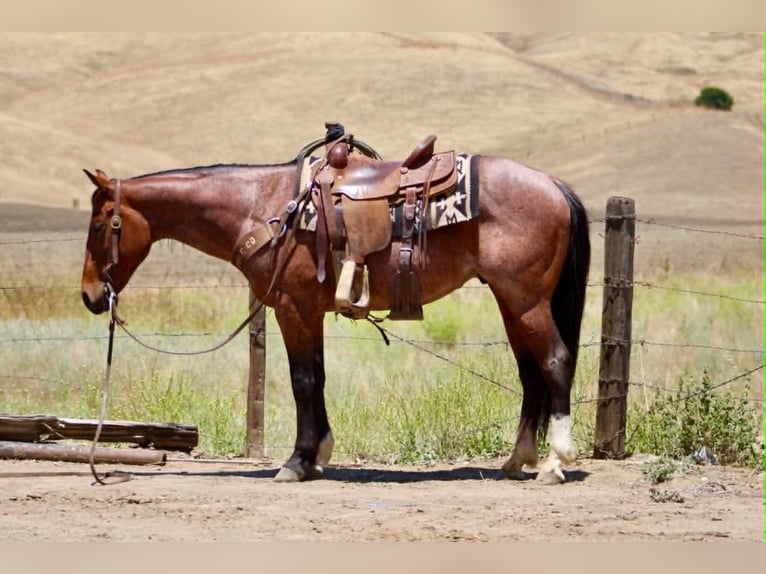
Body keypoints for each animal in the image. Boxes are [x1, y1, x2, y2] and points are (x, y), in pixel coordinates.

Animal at [80, 136, 590, 484]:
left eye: (101, 225)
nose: (89, 296)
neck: (262, 207)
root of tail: (553, 184)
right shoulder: (310, 311)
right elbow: (318, 377)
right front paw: (319, 454)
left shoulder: (292, 306)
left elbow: (302, 380)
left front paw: (297, 462)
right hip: (510, 300)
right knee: (529, 372)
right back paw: (517, 460)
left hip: (526, 300)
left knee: (555, 362)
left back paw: (554, 463)